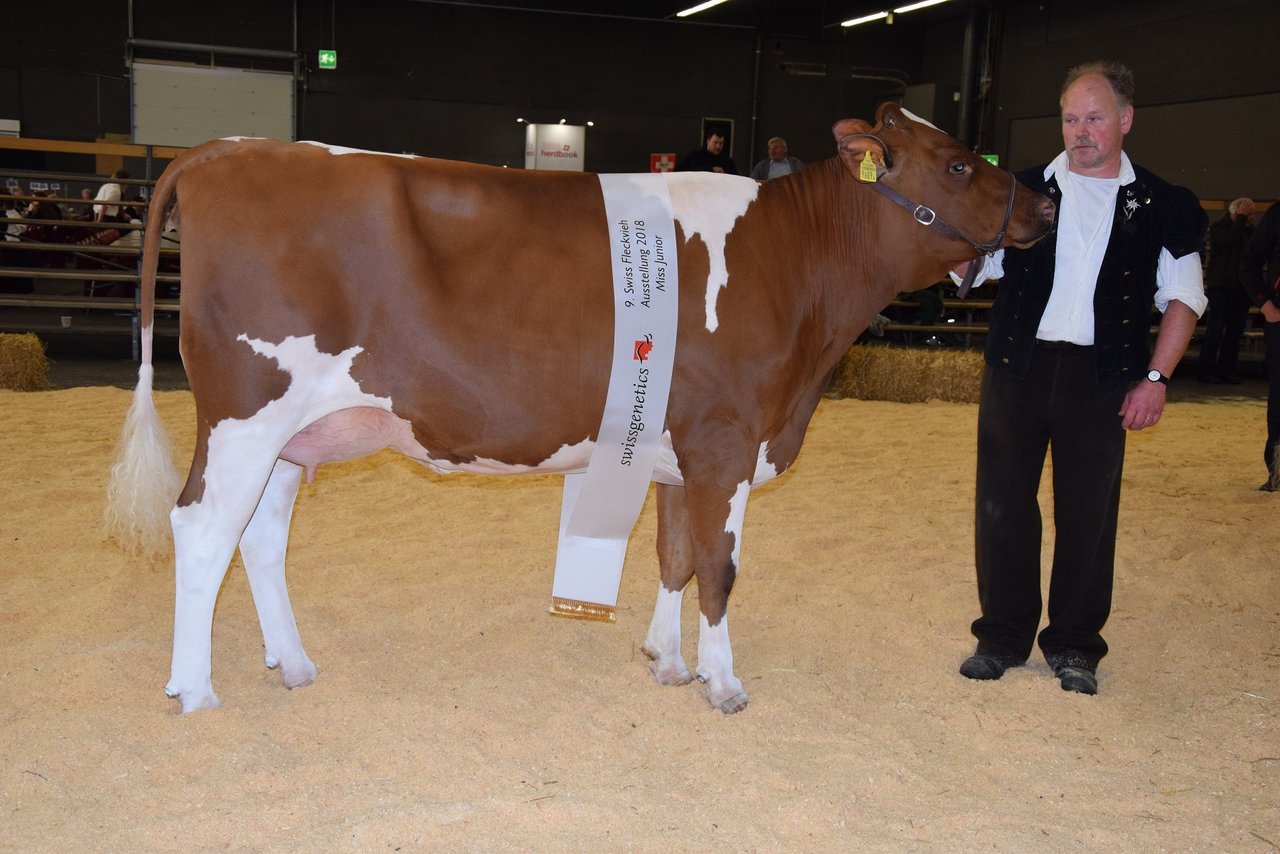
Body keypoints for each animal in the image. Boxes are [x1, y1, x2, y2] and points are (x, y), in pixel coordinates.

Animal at [107, 101, 1049, 717]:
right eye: (959, 163)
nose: (1043, 201)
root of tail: (228, 149)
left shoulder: (679, 447)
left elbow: (674, 557)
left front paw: (666, 660)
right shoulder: (727, 441)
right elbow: (720, 567)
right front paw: (724, 684)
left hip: (294, 433)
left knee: (258, 536)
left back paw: (294, 665)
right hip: (247, 413)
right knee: (203, 527)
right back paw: (196, 689)